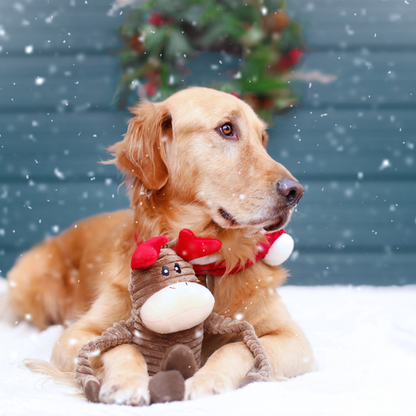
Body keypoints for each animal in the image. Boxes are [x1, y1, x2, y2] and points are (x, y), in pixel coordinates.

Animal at [6, 87, 316, 404]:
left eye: (263, 139)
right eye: (227, 129)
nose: (296, 192)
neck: (204, 257)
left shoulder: (293, 339)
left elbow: (237, 346)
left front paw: (208, 380)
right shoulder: (75, 334)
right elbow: (120, 345)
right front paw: (127, 380)